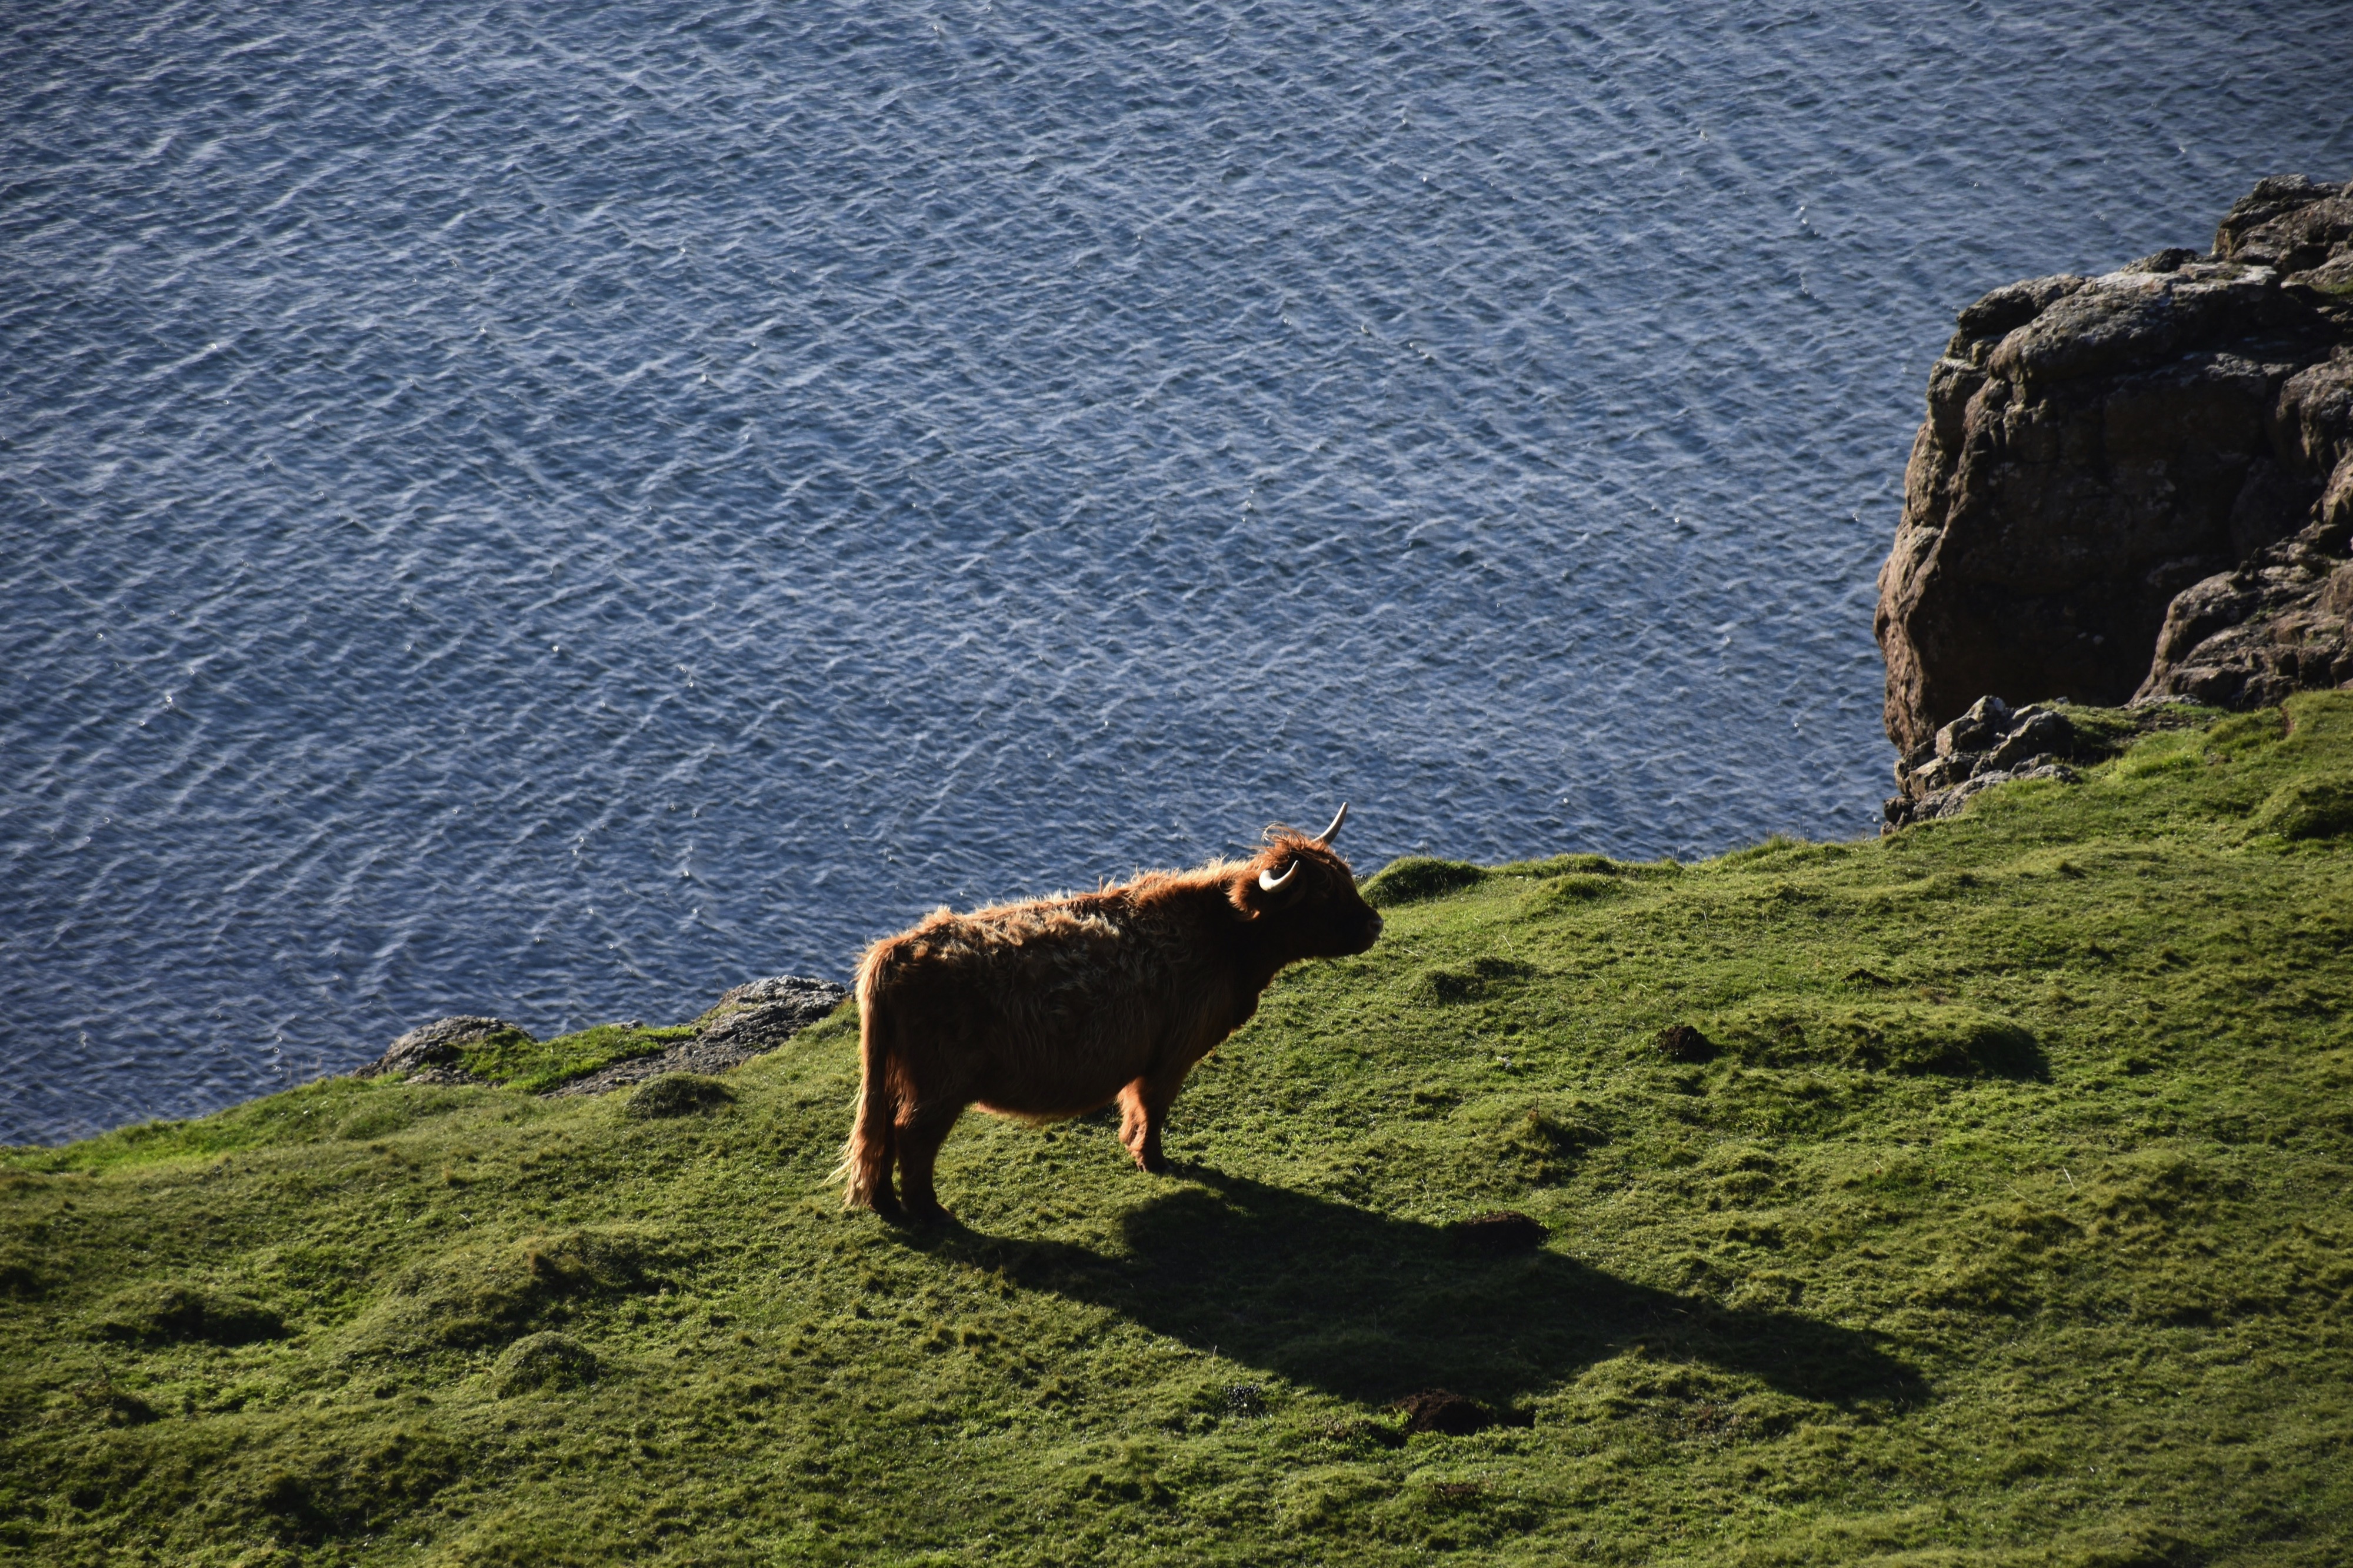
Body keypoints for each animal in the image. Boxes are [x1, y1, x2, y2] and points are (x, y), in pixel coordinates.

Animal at [836, 805, 1383, 1223]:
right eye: (1324, 894)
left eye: (1346, 877)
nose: (1376, 923)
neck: (1225, 939)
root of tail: (895, 951)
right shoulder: (1172, 1052)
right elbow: (1153, 1106)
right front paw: (1153, 1160)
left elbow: (1136, 1106)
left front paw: (1135, 1149)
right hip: (940, 1083)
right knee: (911, 1135)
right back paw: (932, 1214)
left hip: (897, 1075)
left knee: (881, 1132)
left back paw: (886, 1204)